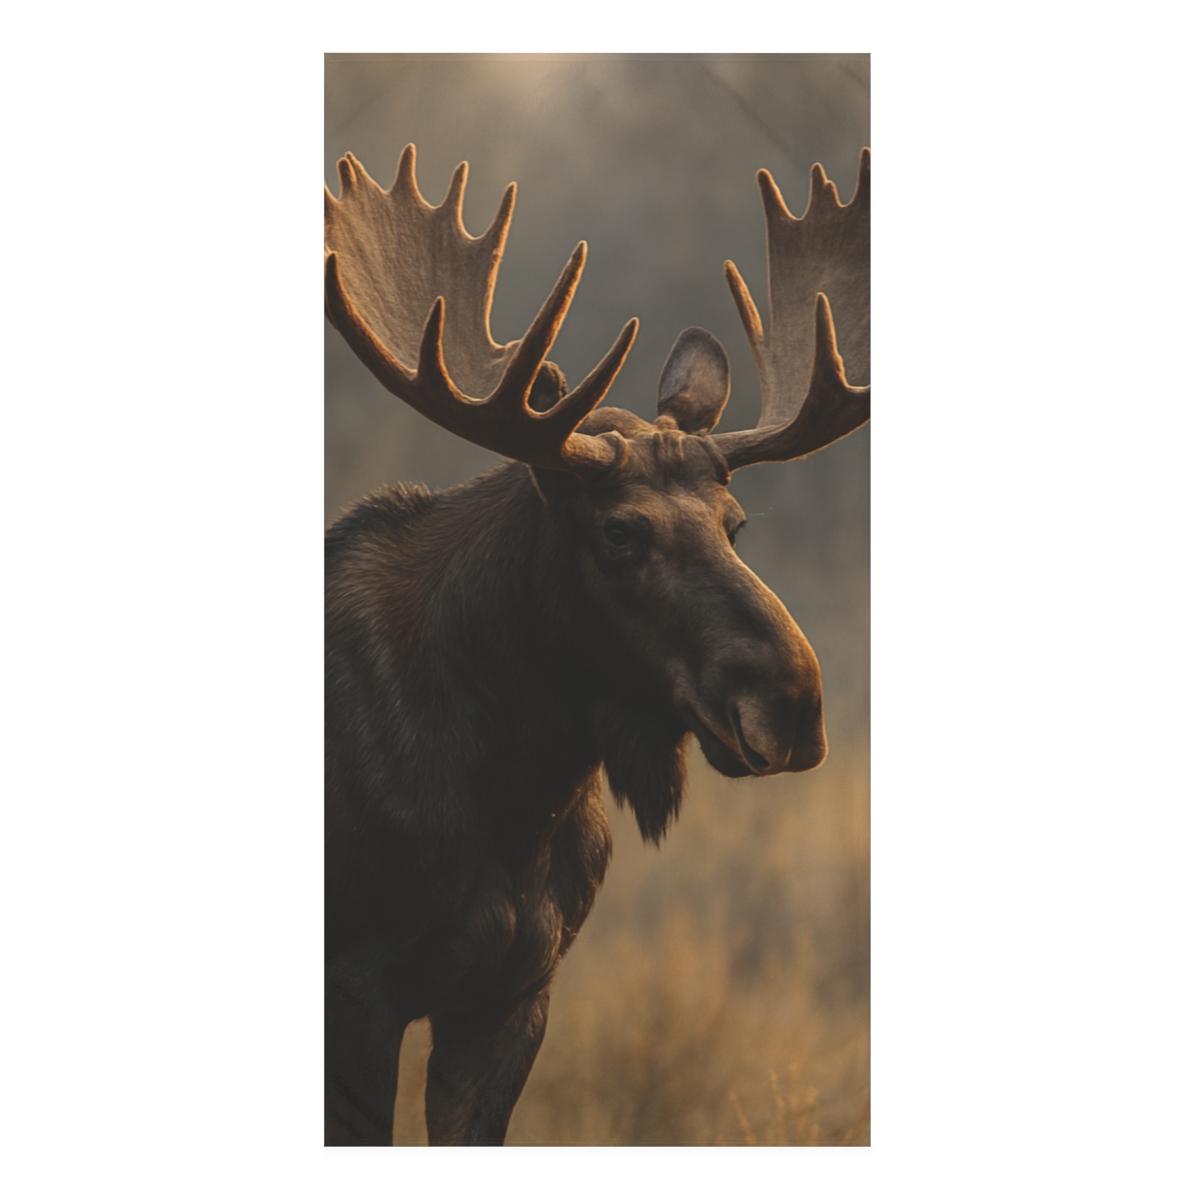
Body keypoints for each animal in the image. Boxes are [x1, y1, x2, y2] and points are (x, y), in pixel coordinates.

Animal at [324, 143, 869, 1146]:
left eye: (736, 524)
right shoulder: (356, 990)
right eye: (620, 532)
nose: (793, 705)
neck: (518, 795)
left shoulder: (515, 996)